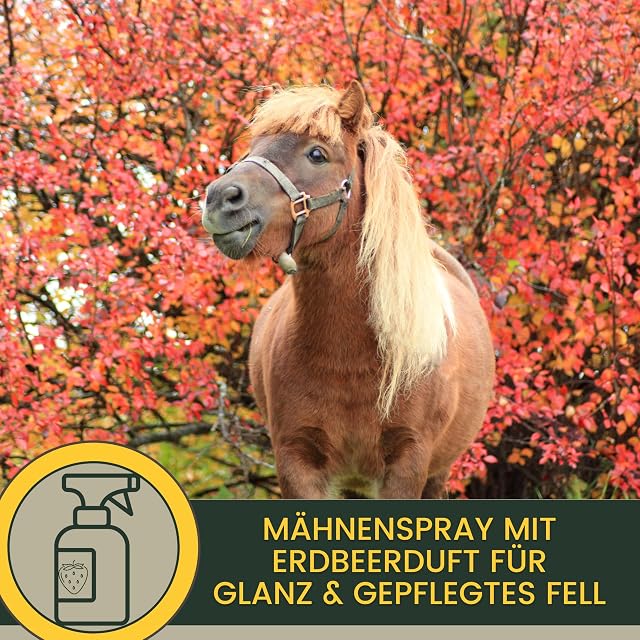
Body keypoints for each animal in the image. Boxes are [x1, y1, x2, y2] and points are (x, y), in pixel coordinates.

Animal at [201, 81, 494, 499]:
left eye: (317, 154)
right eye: (254, 146)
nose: (220, 198)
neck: (350, 357)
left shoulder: (409, 463)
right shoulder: (296, 459)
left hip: (438, 473)